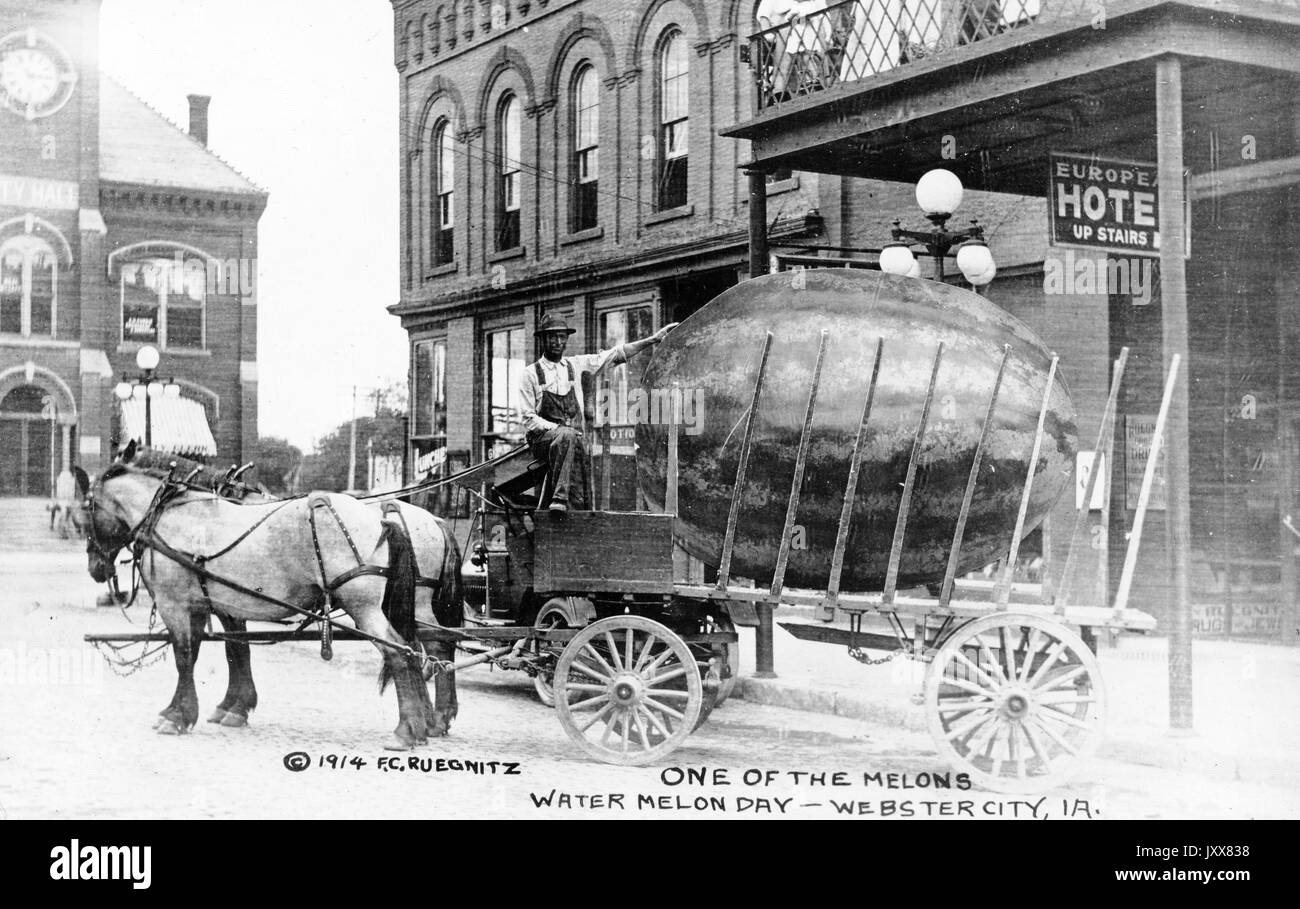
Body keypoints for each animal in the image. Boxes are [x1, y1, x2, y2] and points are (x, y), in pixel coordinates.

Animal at [76, 442, 462, 754]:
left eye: (85, 511)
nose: (96, 567)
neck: (173, 517)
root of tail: (388, 520)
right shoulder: (206, 605)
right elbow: (224, 650)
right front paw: (221, 708)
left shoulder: (180, 606)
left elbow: (188, 656)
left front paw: (179, 715)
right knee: (428, 648)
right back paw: (427, 722)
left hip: (366, 608)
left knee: (401, 651)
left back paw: (408, 729)